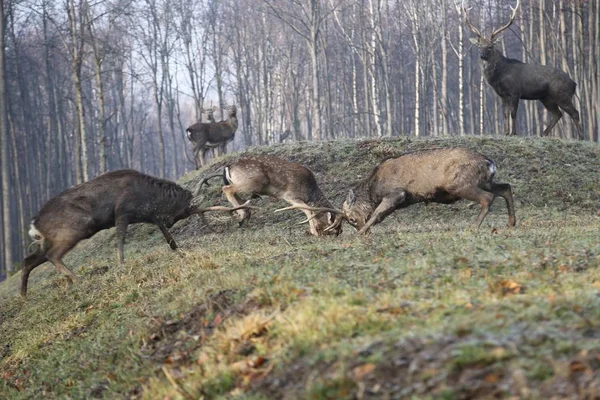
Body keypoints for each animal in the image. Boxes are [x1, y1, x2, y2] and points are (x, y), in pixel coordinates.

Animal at [20, 169, 251, 296]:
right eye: (183, 212)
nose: (171, 220)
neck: (148, 196)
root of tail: (34, 225)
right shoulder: (122, 211)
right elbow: (121, 238)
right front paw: (121, 264)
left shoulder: (150, 216)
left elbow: (167, 236)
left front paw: (178, 251)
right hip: (72, 230)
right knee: (52, 256)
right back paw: (76, 279)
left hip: (51, 239)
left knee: (29, 259)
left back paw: (24, 294)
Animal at [322, 147, 516, 234]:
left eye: (352, 219)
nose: (363, 230)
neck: (374, 189)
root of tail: (490, 164)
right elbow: (381, 215)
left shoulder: (397, 192)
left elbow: (377, 213)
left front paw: (359, 233)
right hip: (484, 181)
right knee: (505, 187)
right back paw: (511, 223)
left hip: (460, 184)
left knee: (488, 197)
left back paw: (474, 226)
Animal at [462, 0, 584, 139]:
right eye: (479, 46)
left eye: (490, 46)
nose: (482, 55)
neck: (499, 76)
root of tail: (574, 83)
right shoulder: (502, 95)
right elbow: (505, 114)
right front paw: (505, 133)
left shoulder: (515, 92)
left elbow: (513, 113)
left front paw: (513, 133)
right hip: (546, 97)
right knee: (557, 114)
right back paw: (543, 134)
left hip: (562, 95)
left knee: (574, 112)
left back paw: (581, 137)